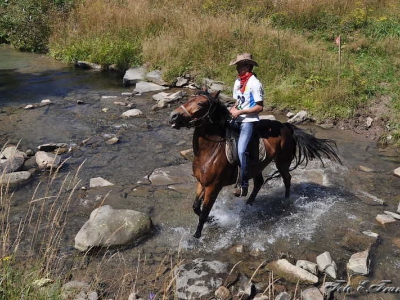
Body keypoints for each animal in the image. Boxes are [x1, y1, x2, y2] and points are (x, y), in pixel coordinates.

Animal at [169, 90, 340, 238]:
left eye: (200, 104)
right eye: (190, 99)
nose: (173, 116)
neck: (210, 151)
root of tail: (286, 126)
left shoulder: (213, 186)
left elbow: (204, 213)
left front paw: (196, 236)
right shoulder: (201, 182)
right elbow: (196, 207)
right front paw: (214, 220)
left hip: (282, 162)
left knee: (287, 178)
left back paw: (286, 200)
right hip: (257, 166)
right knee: (259, 182)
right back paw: (249, 204)